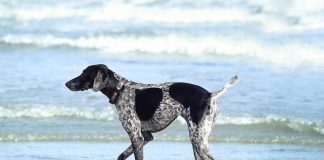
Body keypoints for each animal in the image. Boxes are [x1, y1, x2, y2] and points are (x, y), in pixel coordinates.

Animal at [65, 64, 238, 159]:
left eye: (85, 73)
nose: (67, 83)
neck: (121, 90)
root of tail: (209, 95)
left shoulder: (137, 137)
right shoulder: (146, 136)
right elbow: (122, 155)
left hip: (198, 140)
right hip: (198, 141)